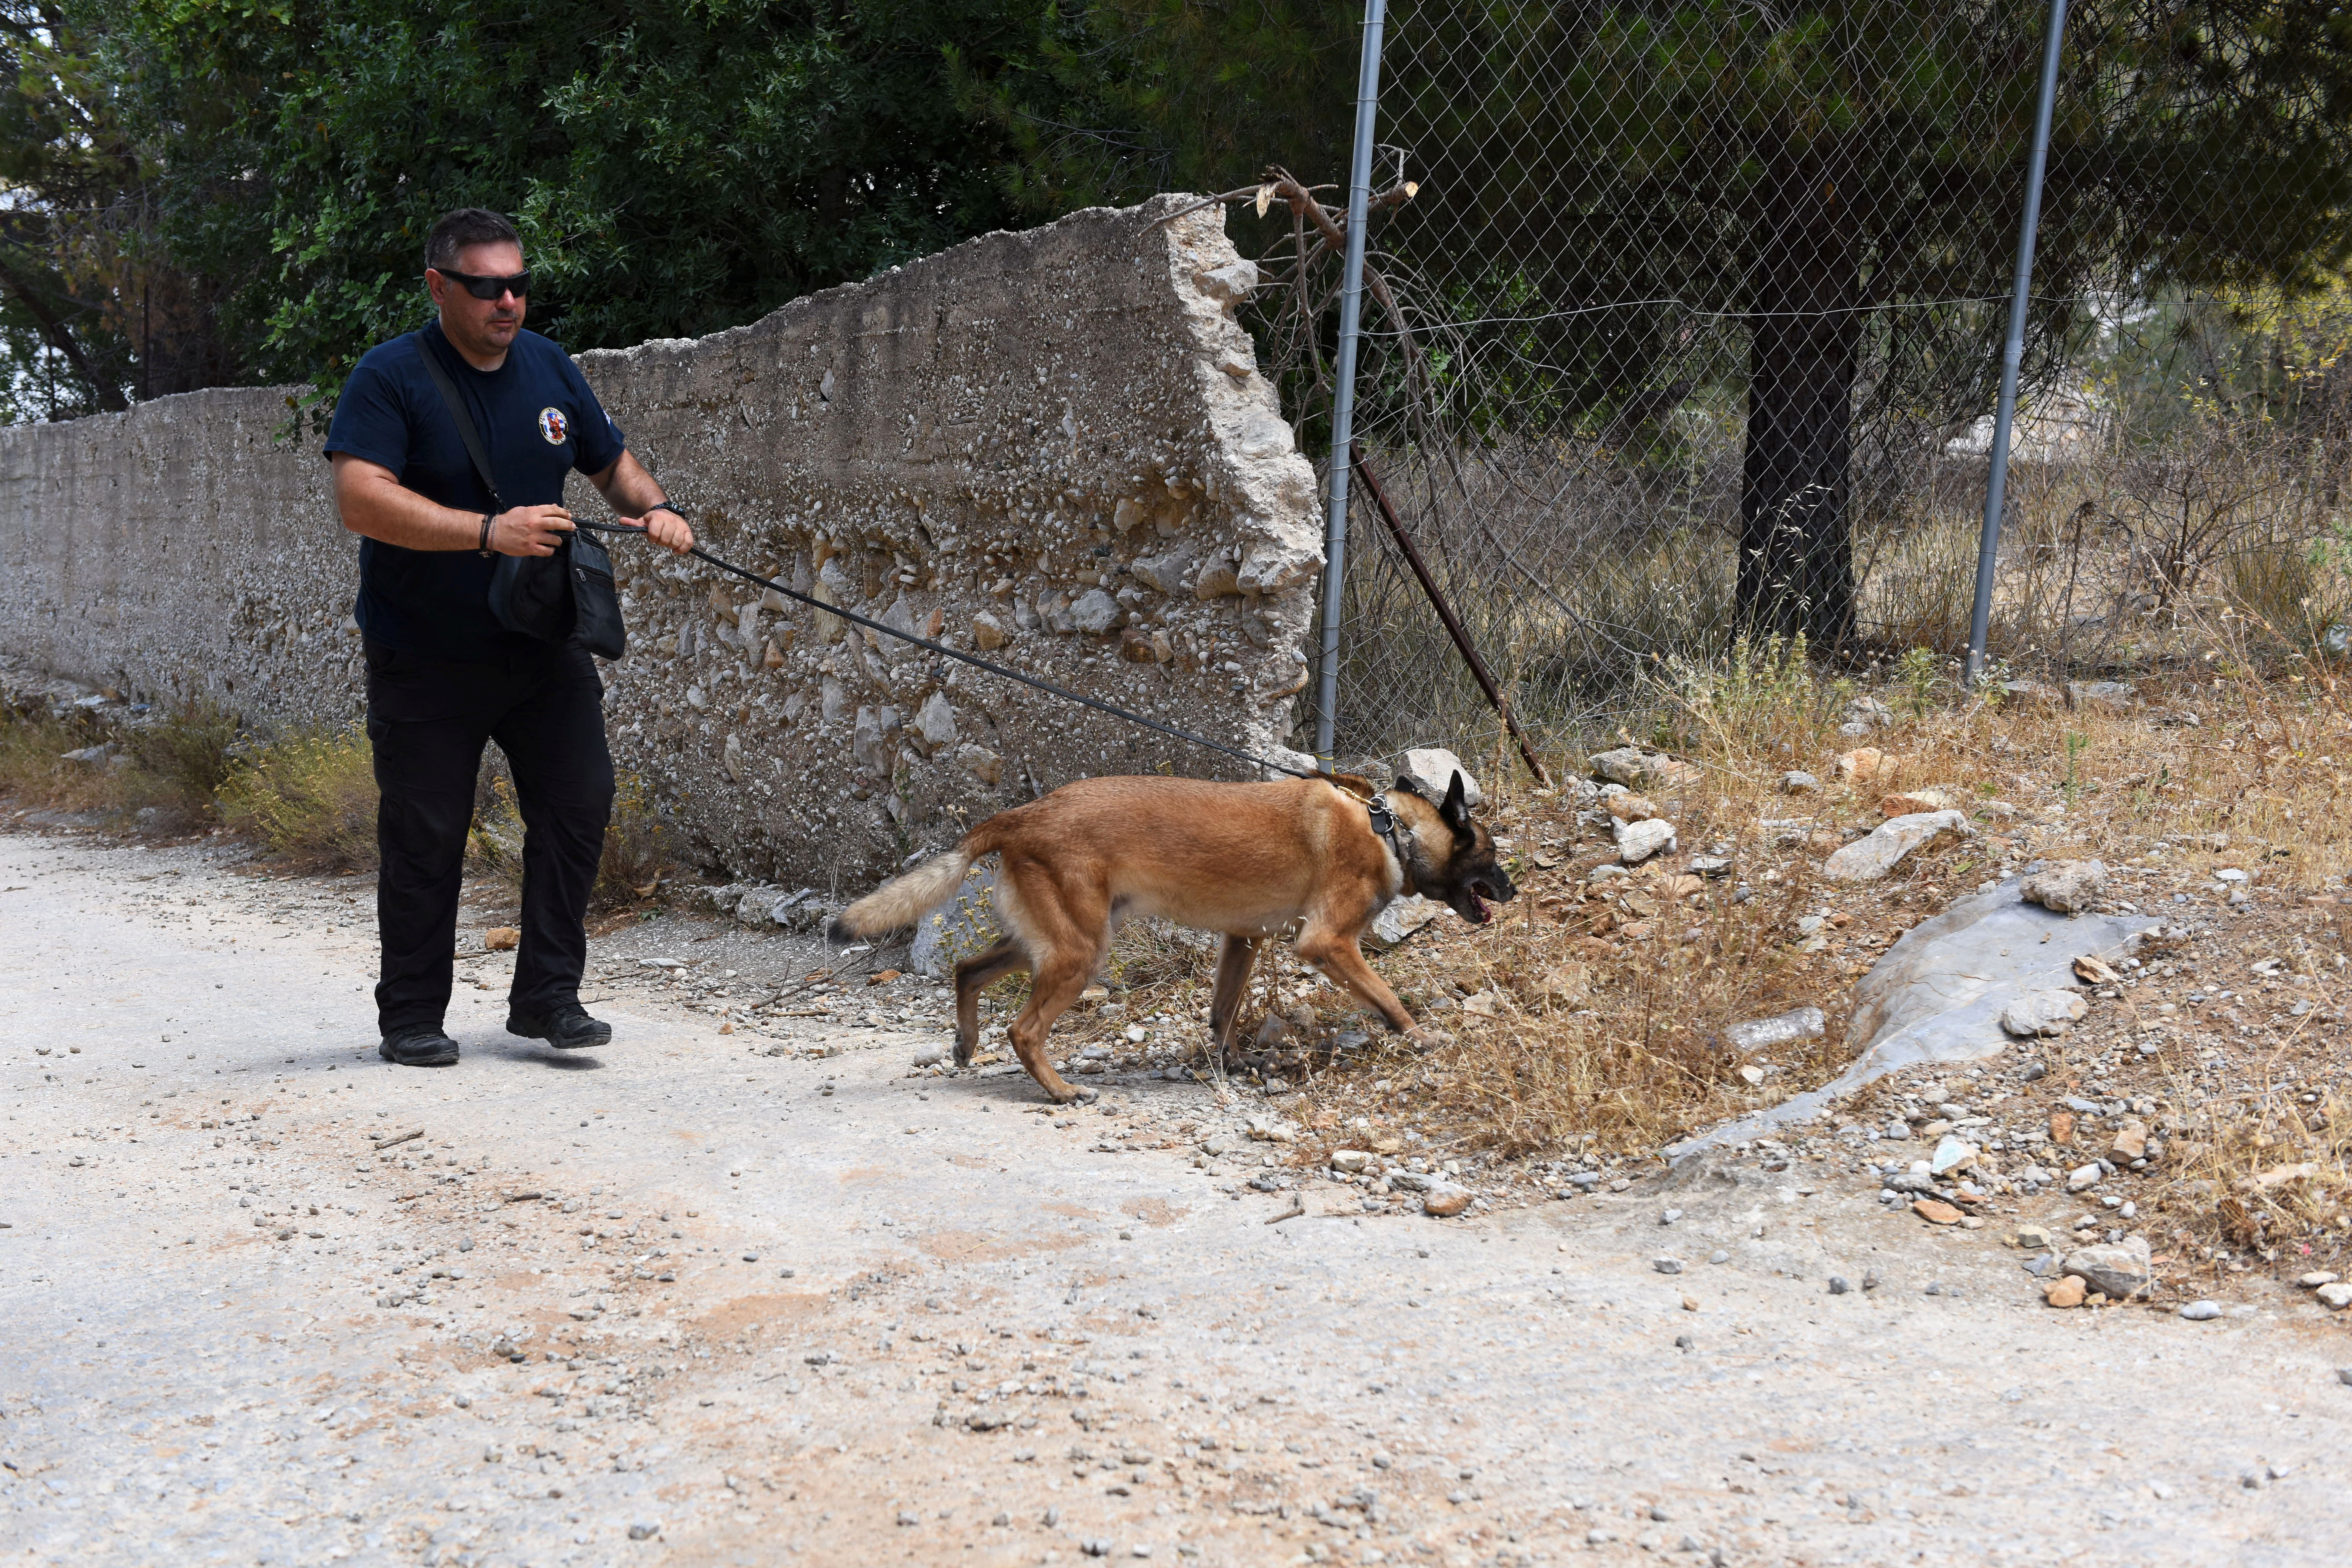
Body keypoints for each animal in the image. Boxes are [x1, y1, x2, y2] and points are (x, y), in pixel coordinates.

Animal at [837, 771, 1515, 1105]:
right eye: (1489, 853)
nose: (1512, 891)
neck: (1388, 830)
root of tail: (1023, 814)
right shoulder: (1327, 944)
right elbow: (1389, 998)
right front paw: (1420, 1038)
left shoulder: (1243, 941)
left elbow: (1223, 1012)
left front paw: (1230, 1061)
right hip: (1081, 953)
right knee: (1024, 1030)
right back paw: (1060, 1091)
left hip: (1052, 943)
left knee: (968, 970)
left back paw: (965, 1042)